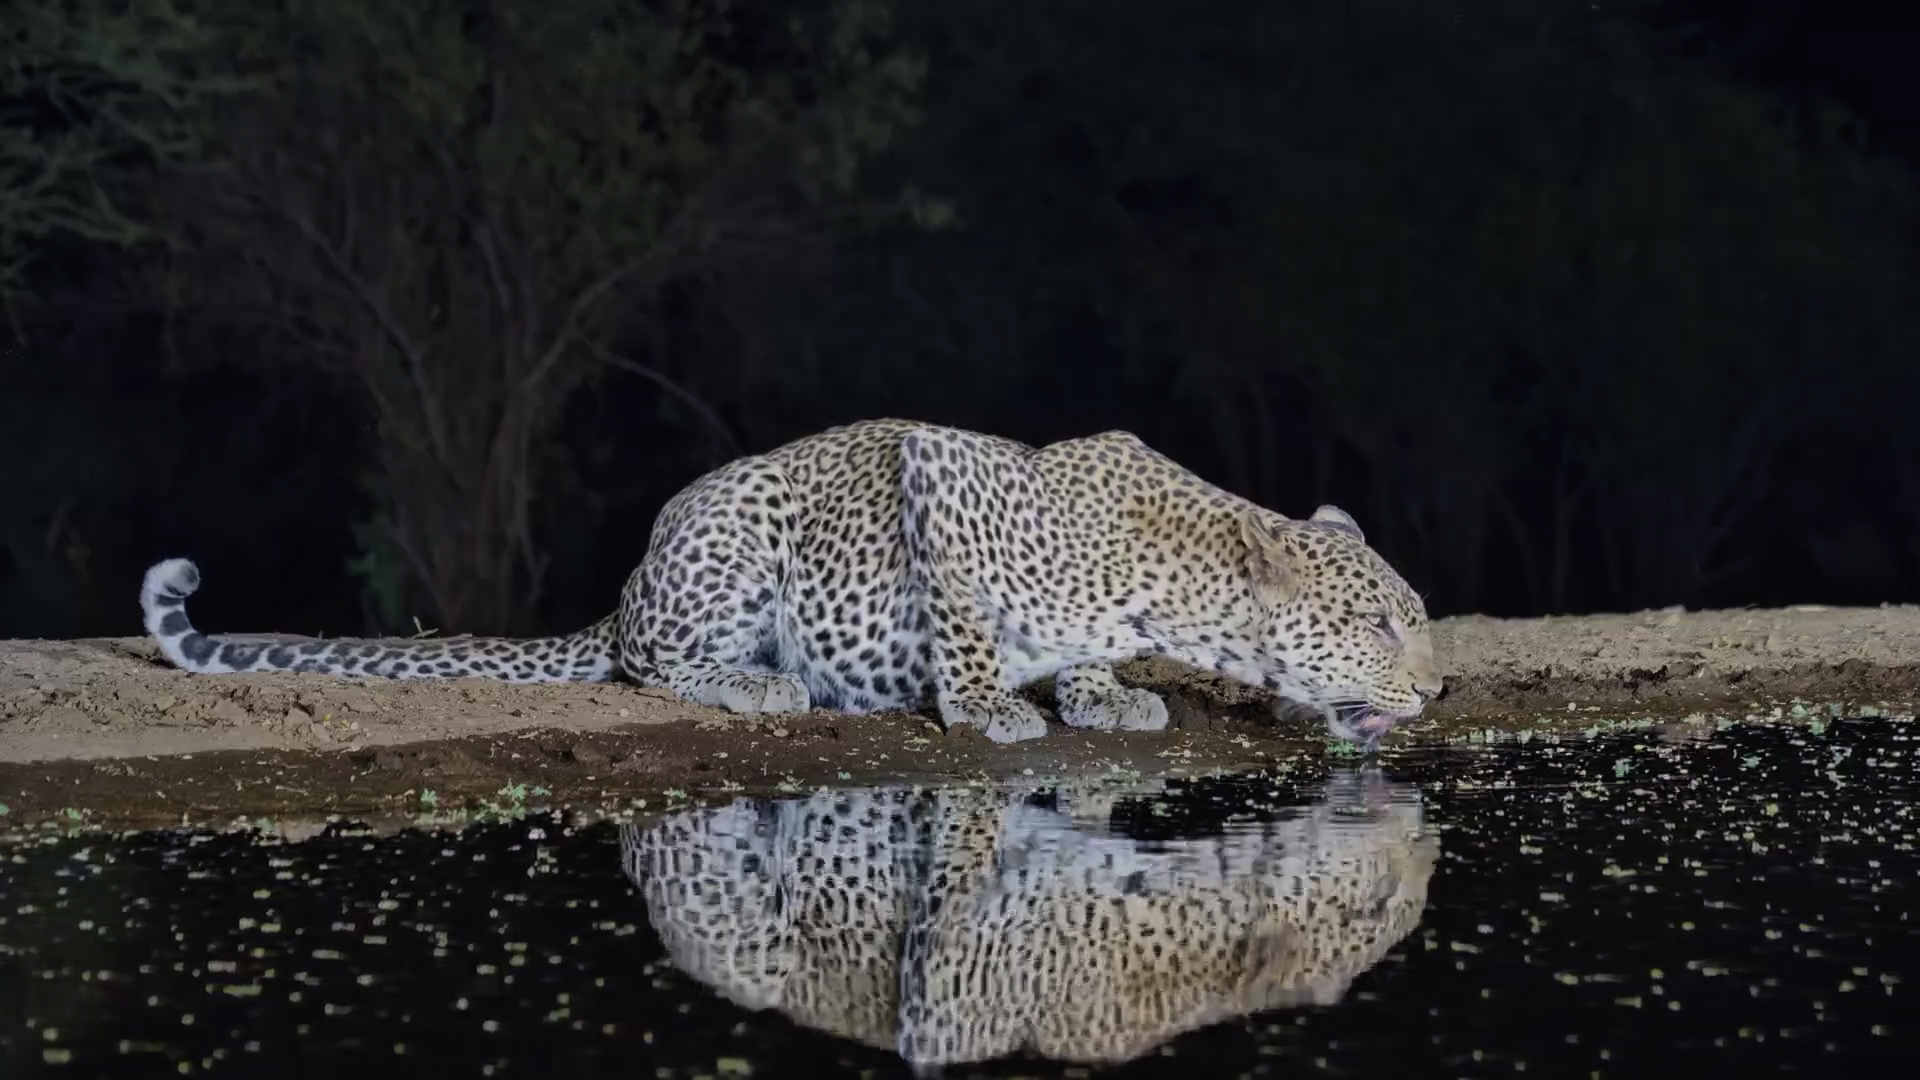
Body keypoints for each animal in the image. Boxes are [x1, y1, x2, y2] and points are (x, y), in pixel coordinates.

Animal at [141, 418, 1442, 745]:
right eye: (1381, 625)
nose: (1436, 694)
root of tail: (629, 581)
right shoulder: (939, 477)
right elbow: (969, 629)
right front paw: (988, 707)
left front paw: (1103, 693)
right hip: (738, 527)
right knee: (651, 664)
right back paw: (763, 684)